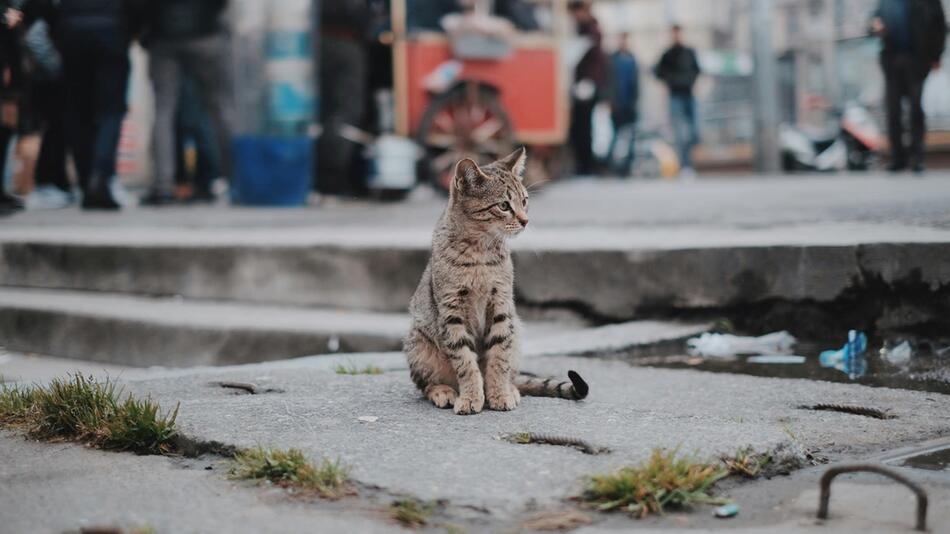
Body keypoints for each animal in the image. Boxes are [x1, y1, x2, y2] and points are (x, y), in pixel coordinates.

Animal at [408, 149, 592, 416]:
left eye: (525, 201)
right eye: (504, 205)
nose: (525, 220)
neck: (480, 252)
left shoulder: (501, 305)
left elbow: (498, 358)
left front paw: (498, 394)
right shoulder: (451, 312)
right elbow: (465, 362)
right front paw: (471, 397)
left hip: (517, 333)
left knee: (512, 372)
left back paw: (510, 389)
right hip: (419, 344)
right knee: (425, 384)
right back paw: (444, 391)